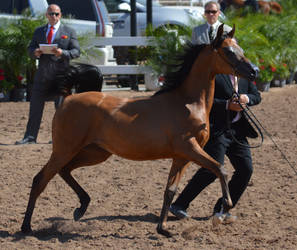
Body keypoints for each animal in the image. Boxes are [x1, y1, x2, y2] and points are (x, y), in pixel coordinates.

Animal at [20, 24, 256, 237]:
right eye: (228, 51)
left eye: (240, 48)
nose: (254, 71)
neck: (188, 103)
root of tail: (69, 97)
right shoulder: (190, 148)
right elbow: (220, 168)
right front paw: (226, 206)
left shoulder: (181, 157)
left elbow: (170, 191)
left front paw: (163, 229)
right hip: (65, 149)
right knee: (40, 179)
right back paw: (26, 227)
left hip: (96, 152)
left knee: (64, 170)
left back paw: (81, 208)